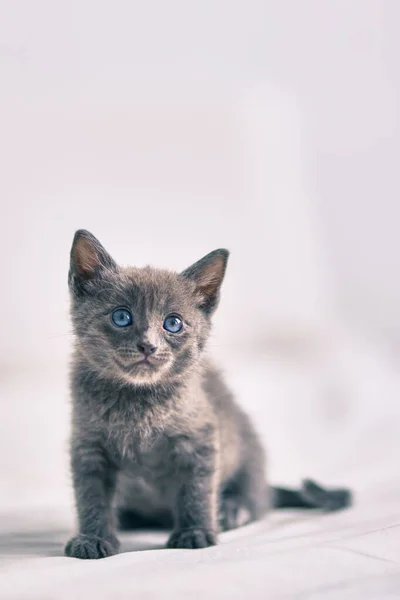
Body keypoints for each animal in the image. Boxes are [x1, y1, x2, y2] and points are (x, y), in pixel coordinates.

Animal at [65, 232, 350, 560]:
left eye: (173, 323)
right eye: (121, 316)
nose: (148, 345)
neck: (138, 401)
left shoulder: (199, 437)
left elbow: (197, 489)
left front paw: (196, 532)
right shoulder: (88, 445)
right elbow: (92, 496)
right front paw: (92, 537)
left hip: (248, 449)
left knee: (258, 499)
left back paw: (232, 510)